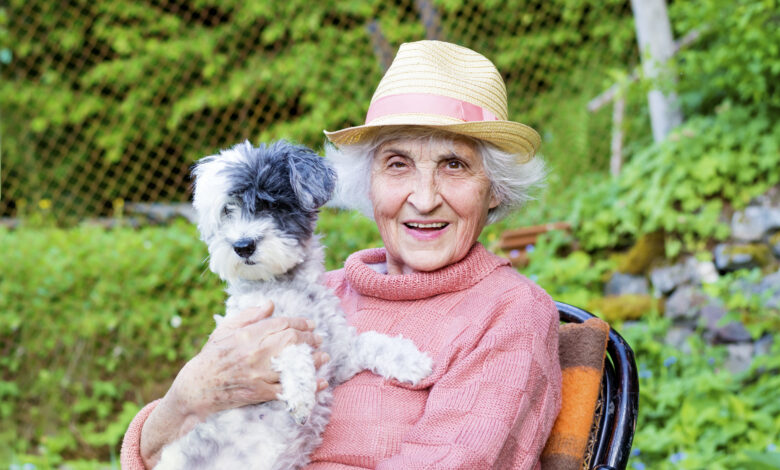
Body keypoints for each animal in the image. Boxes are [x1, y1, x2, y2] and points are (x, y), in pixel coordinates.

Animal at [152, 140, 432, 470]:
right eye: (227, 211)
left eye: (270, 205)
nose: (242, 246)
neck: (287, 285)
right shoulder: (263, 332)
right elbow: (292, 347)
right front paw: (300, 394)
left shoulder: (338, 357)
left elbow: (371, 342)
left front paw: (411, 360)